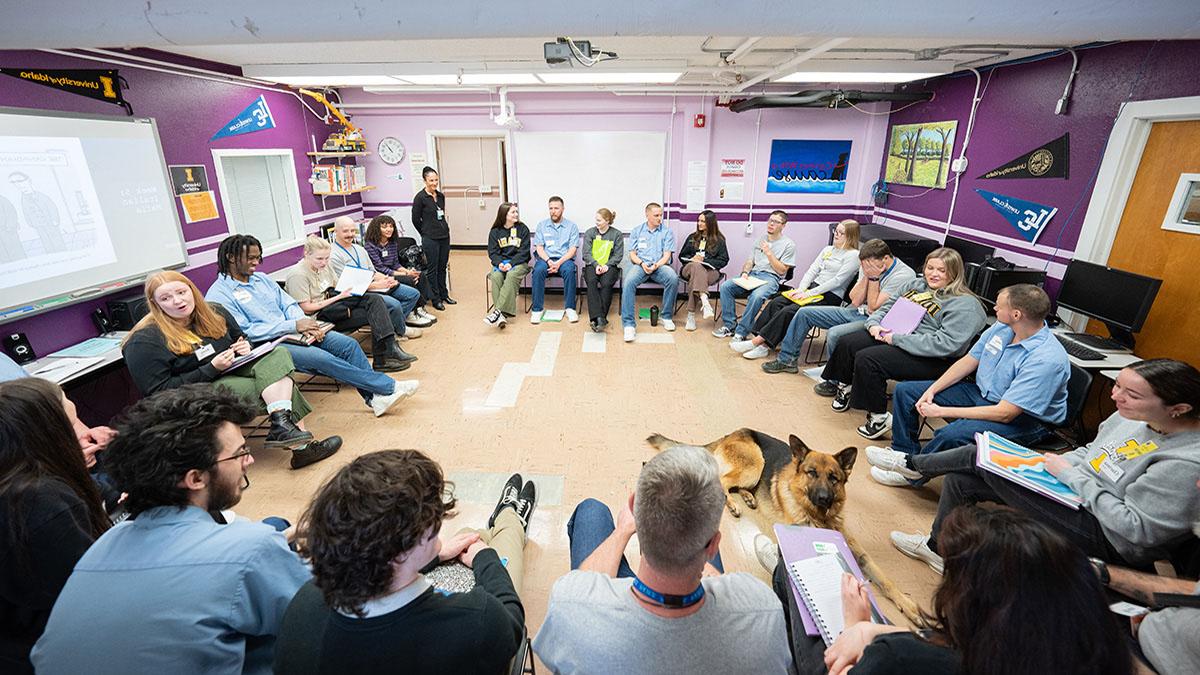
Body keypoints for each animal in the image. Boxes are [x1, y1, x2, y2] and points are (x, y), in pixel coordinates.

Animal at [652, 425, 921, 619]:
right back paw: (733, 504)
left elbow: (884, 577)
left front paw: (910, 607)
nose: (824, 498)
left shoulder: (858, 552)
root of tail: (734, 431)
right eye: (811, 473)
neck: (819, 516)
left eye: (834, 478)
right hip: (755, 463)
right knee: (722, 480)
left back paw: (749, 497)